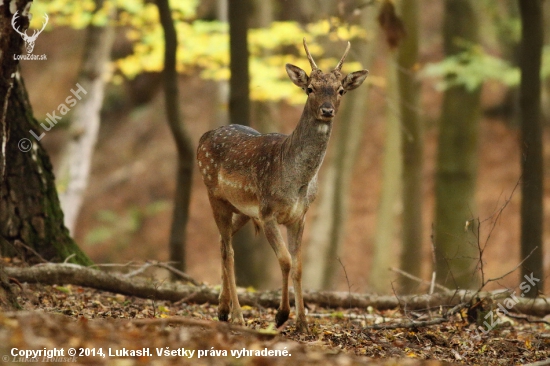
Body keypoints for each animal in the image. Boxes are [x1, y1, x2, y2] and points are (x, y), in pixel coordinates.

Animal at [196, 38, 368, 332]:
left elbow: (298, 265)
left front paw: (303, 323)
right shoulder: (268, 213)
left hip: (242, 209)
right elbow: (285, 261)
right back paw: (238, 315)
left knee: (221, 242)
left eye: (341, 90)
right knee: (229, 250)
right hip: (214, 194)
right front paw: (281, 315)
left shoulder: (299, 216)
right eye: (310, 88)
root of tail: (202, 138)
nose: (327, 110)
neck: (297, 182)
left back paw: (223, 309)